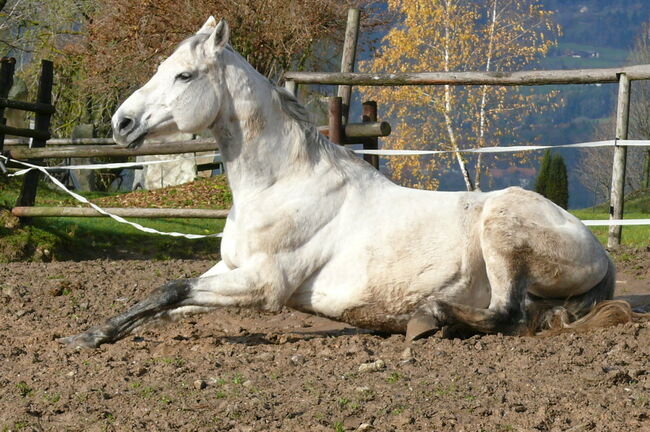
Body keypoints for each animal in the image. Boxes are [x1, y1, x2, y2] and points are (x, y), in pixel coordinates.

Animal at [60, 17, 624, 348]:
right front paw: (94, 333)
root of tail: (599, 250)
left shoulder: (264, 284)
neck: (282, 184)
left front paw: (87, 338)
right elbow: (165, 301)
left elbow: (170, 288)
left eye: (184, 76)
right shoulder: (230, 268)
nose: (121, 123)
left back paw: (428, 315)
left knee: (506, 314)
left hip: (503, 229)